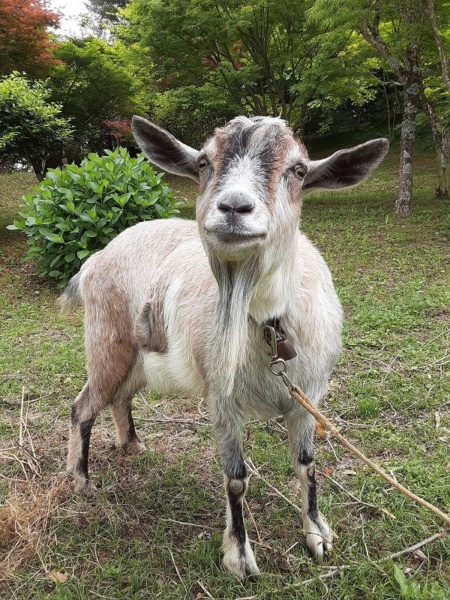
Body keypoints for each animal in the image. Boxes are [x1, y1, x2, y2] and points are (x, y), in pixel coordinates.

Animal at [61, 115, 388, 579]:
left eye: (299, 170)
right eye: (203, 162)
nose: (234, 208)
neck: (269, 325)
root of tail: (95, 260)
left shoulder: (306, 397)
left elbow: (306, 465)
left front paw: (318, 534)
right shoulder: (222, 400)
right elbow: (235, 477)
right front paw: (240, 556)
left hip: (140, 358)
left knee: (120, 398)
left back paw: (132, 445)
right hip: (107, 343)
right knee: (84, 406)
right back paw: (81, 481)